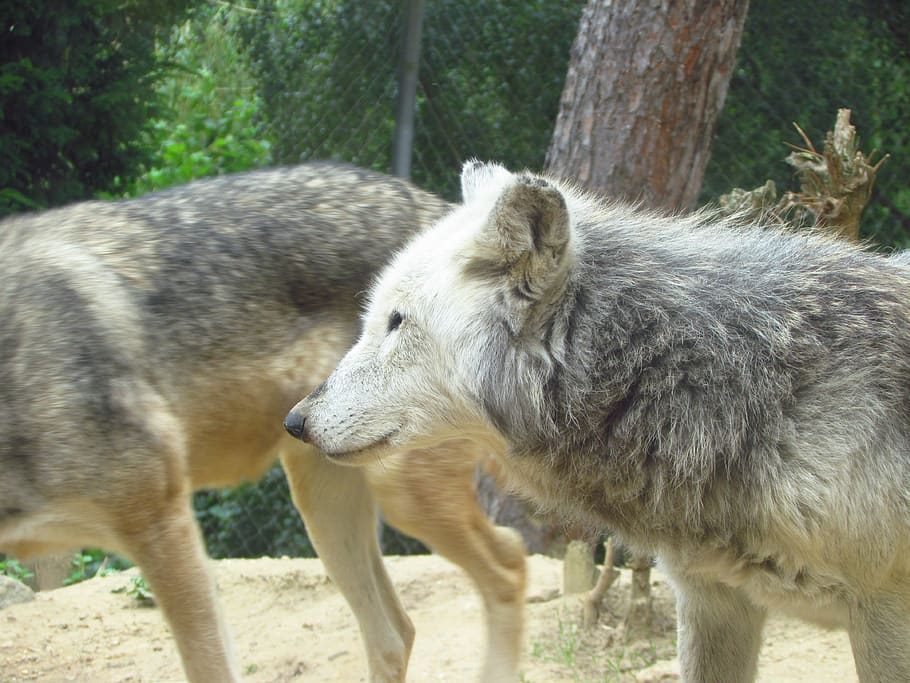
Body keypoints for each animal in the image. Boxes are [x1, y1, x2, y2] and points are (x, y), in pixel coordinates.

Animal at [0, 163, 527, 683]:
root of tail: (446, 208)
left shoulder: (164, 526)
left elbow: (210, 667)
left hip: (403, 499)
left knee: (509, 562)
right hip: (324, 506)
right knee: (395, 633)